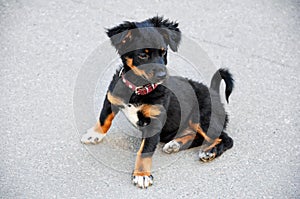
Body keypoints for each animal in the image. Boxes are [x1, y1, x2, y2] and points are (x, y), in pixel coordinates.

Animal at [81, 16, 234, 188]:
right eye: (143, 55)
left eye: (163, 52)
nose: (162, 75)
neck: (138, 88)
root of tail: (214, 93)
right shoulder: (111, 99)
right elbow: (104, 118)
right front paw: (94, 135)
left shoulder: (154, 122)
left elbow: (145, 151)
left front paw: (142, 175)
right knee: (198, 137)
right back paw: (175, 145)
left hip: (201, 117)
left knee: (224, 138)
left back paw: (209, 152)